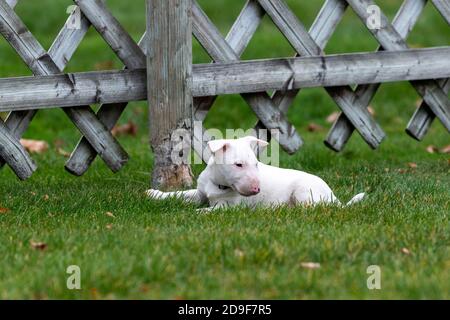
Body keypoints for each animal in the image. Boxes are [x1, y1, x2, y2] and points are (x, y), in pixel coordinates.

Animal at [148, 136, 366, 209]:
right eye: (238, 165)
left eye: (256, 165)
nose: (256, 190)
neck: (218, 184)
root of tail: (333, 197)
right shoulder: (200, 192)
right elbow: (180, 194)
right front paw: (154, 194)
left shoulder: (229, 207)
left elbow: (209, 211)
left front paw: (196, 213)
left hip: (305, 192)